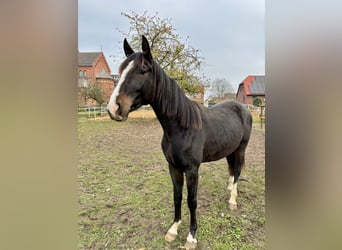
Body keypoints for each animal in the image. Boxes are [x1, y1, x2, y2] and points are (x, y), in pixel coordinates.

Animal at [106, 35, 251, 250]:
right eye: (121, 69)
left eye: (143, 69)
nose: (113, 108)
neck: (182, 127)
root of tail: (242, 107)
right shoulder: (173, 167)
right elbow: (177, 197)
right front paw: (173, 229)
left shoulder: (192, 170)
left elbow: (192, 201)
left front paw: (191, 237)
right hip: (229, 150)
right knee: (232, 171)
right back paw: (229, 189)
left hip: (241, 148)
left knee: (238, 171)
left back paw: (233, 200)